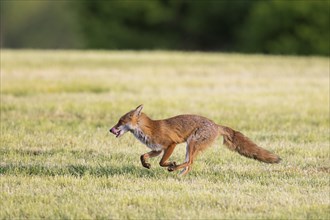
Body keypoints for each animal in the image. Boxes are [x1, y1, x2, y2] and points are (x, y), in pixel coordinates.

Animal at [109, 105, 280, 175]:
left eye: (120, 121)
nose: (110, 130)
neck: (150, 129)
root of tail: (216, 125)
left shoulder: (171, 144)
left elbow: (162, 162)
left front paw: (169, 164)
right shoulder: (157, 149)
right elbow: (142, 156)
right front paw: (146, 164)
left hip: (191, 143)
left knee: (190, 162)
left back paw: (175, 169)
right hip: (190, 146)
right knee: (189, 164)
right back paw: (180, 175)